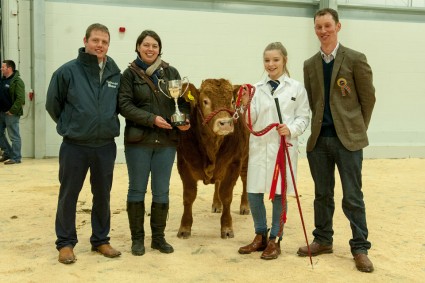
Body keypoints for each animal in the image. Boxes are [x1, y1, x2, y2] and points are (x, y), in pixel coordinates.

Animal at [176, 78, 248, 240]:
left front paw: (226, 228)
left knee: (245, 180)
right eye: (205, 101)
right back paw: (216, 204)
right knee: (218, 183)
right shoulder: (184, 164)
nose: (225, 123)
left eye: (232, 101)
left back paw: (245, 206)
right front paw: (184, 227)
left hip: (246, 158)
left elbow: (226, 195)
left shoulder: (234, 163)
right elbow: (189, 196)